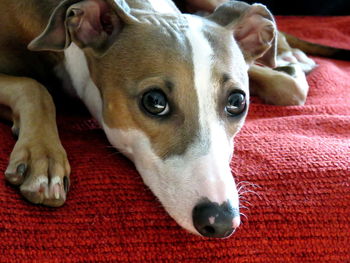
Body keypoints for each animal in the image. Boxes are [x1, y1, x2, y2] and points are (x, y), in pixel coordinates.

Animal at [1, 0, 344, 239]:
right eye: (154, 101)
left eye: (237, 102)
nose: (220, 222)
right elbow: (34, 87)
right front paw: (43, 160)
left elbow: (289, 86)